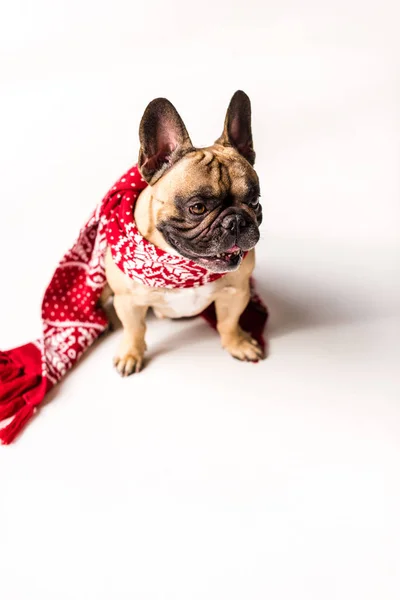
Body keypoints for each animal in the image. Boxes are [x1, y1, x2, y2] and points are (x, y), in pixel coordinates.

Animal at [104, 90, 264, 376]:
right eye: (197, 208)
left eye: (255, 201)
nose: (235, 221)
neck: (181, 268)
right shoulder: (129, 302)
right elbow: (135, 329)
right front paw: (131, 353)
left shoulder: (237, 292)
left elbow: (228, 322)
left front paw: (238, 343)